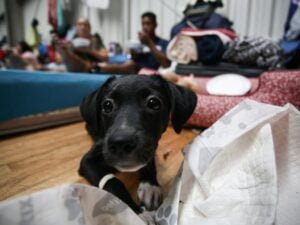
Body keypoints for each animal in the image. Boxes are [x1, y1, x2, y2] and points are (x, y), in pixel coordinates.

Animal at [77, 75, 197, 214]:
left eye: (153, 102)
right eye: (107, 105)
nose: (121, 143)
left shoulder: (151, 147)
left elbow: (150, 164)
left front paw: (150, 186)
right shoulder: (87, 161)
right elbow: (113, 182)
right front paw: (136, 212)